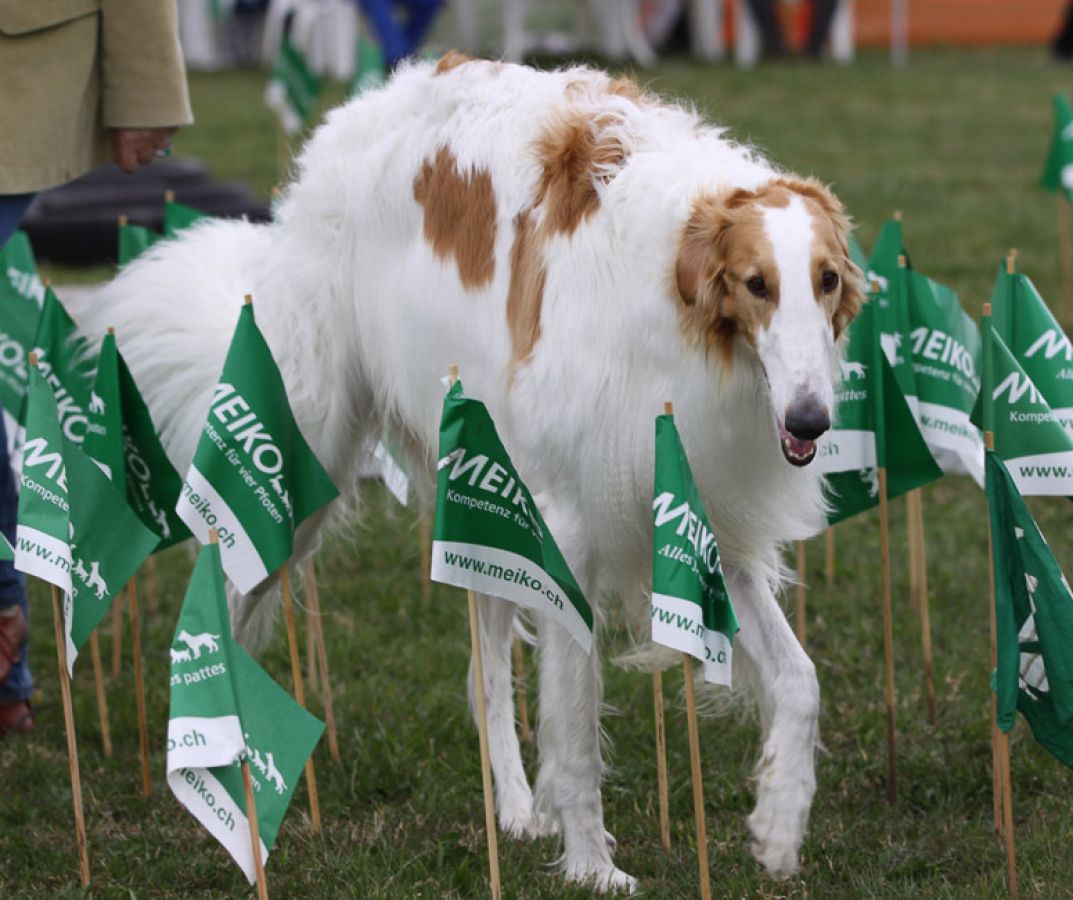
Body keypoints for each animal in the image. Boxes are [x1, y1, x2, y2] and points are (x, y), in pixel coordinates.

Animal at [73, 54, 863, 892]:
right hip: (304, 467)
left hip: (490, 501)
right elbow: (575, 726)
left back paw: (512, 810)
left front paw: (778, 825)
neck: (668, 280)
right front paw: (591, 866)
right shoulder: (572, 528)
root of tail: (360, 107)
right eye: (756, 284)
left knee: (484, 678)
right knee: (230, 596)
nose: (809, 420)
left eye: (827, 280)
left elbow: (800, 680)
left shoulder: (697, 512)